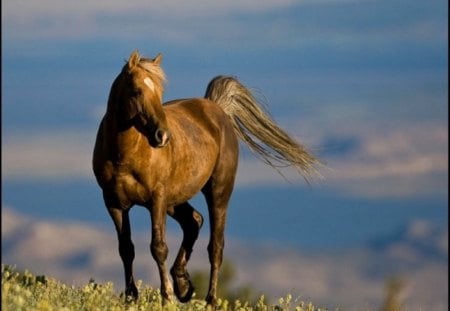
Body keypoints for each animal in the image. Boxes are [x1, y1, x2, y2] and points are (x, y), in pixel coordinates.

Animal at [93, 51, 322, 308]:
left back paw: (210, 300)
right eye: (136, 91)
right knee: (194, 221)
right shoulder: (114, 203)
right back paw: (183, 284)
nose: (163, 136)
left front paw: (167, 297)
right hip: (175, 199)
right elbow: (126, 249)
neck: (125, 155)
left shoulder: (157, 199)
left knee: (216, 247)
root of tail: (217, 108)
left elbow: (158, 247)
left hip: (217, 193)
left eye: (160, 92)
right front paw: (131, 297)